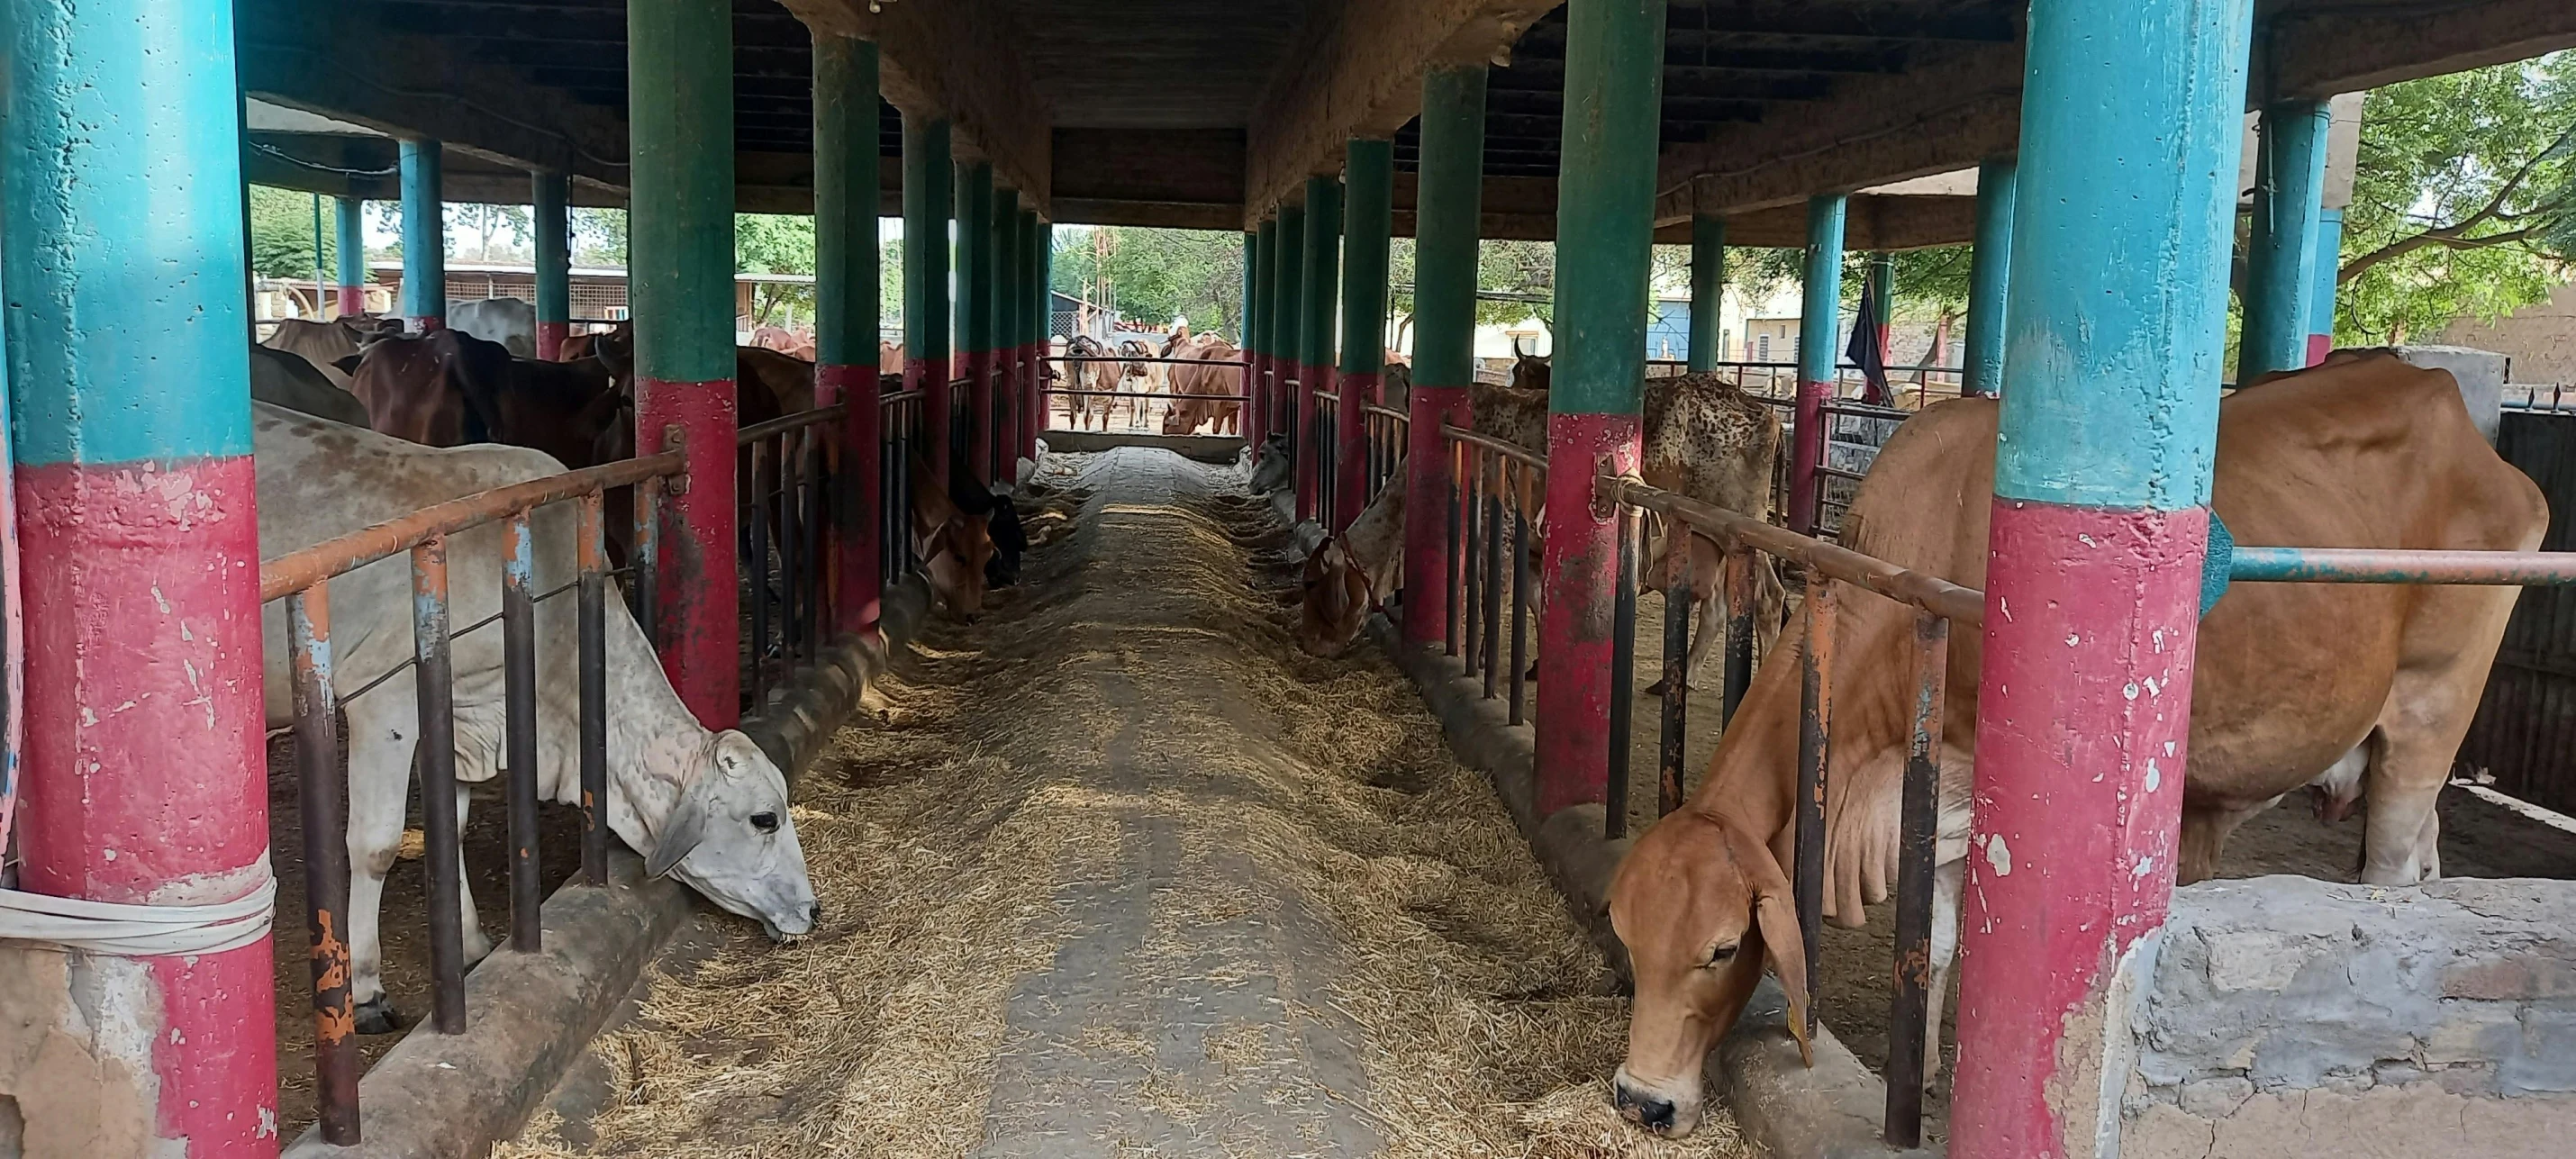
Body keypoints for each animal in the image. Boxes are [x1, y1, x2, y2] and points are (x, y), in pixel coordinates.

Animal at [250, 402, 813, 1030]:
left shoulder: (462, 717)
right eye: (764, 818)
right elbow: (376, 846)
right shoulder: (384, 702)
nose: (812, 909)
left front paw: (470, 943)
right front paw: (368, 990)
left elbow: (451, 827)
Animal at [1607, 349, 2555, 1133]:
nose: (1642, 1099)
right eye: (1627, 936)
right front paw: (1931, 1071)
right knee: (2427, 861)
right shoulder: (1937, 792)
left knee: (2391, 875)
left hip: (2432, 711)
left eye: (1722, 948)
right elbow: (1937, 943)